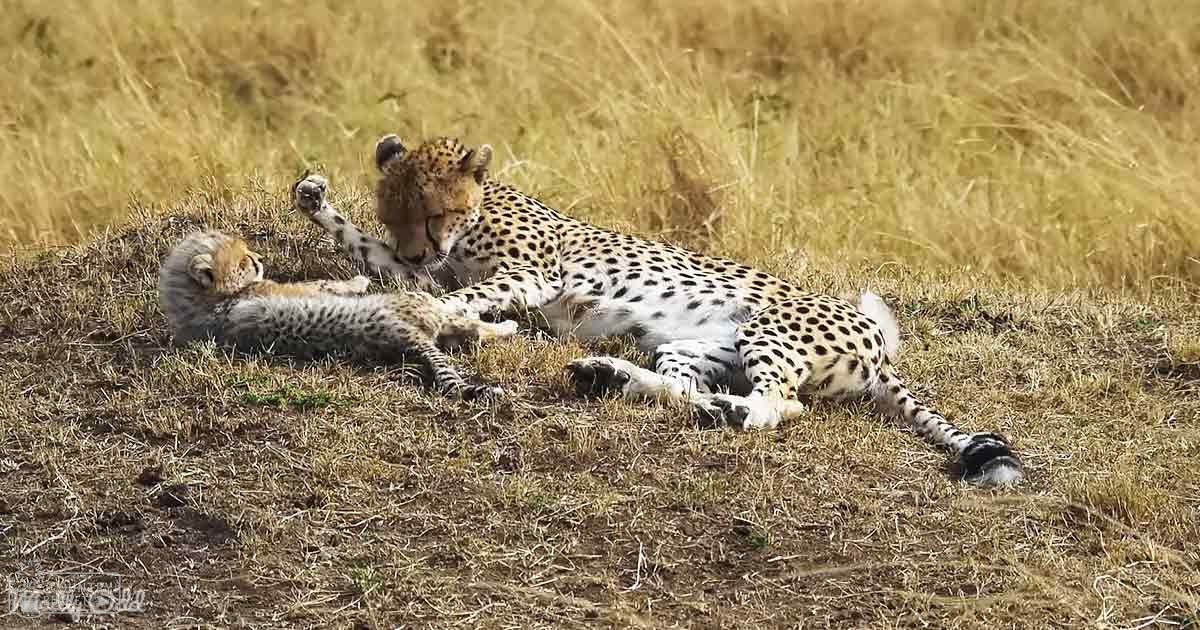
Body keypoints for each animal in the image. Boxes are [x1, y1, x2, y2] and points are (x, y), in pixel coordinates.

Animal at [158, 229, 516, 399]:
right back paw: (508, 325)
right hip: (411, 306)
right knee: (470, 326)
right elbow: (326, 284)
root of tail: (404, 339)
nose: (259, 259)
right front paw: (358, 280)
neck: (203, 303)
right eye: (244, 259)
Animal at [288, 135, 1024, 485]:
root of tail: (876, 338)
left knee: (783, 406)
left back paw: (729, 411)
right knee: (685, 386)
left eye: (435, 210)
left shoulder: (529, 275)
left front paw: (440, 312)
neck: (480, 211)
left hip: (769, 331)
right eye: (395, 211)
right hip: (695, 344)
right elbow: (372, 254)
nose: (417, 245)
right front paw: (313, 198)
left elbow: (456, 296)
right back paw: (615, 377)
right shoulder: (411, 259)